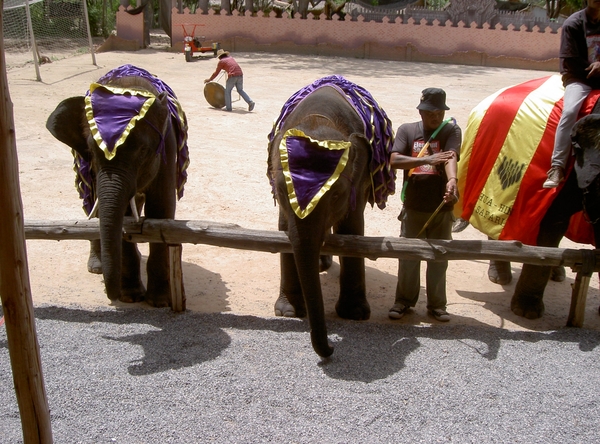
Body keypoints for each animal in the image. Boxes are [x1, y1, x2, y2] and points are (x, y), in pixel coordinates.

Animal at [45, 64, 189, 306]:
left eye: (143, 151)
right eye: (91, 151)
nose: (111, 296)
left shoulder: (167, 146)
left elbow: (161, 208)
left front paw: (159, 301)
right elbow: (119, 215)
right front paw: (130, 297)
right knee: (92, 206)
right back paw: (97, 267)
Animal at [268, 73, 394, 358]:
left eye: (336, 195)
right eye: (280, 191)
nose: (332, 348)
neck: (318, 121)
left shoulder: (360, 180)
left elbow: (352, 227)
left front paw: (354, 314)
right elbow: (285, 229)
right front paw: (288, 312)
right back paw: (320, 266)